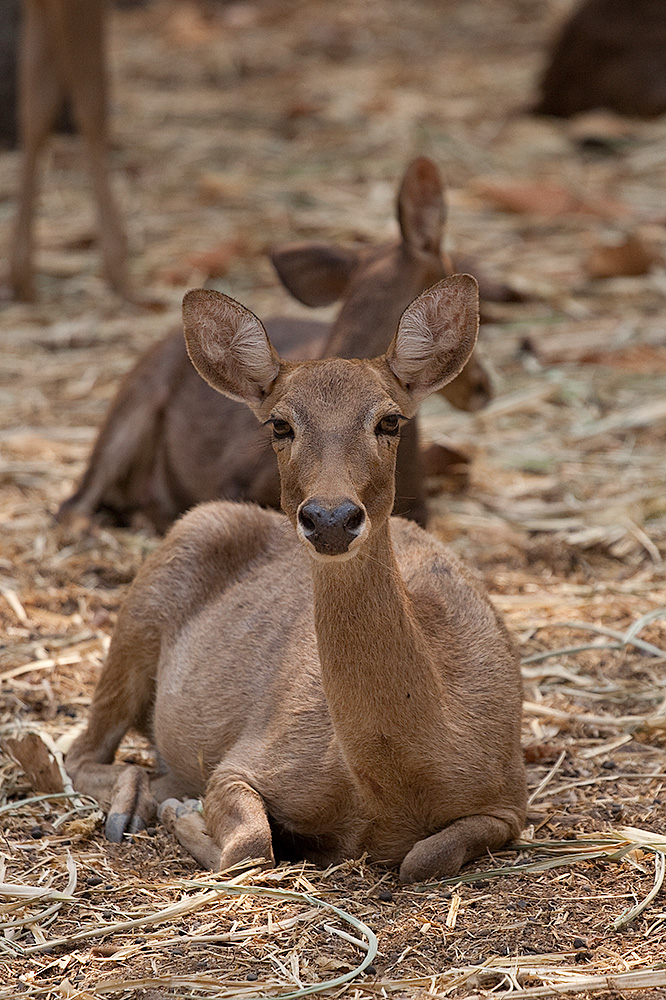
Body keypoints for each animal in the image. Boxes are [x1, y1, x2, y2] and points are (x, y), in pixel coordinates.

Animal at [57, 156, 490, 532]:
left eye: (389, 421)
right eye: (280, 425)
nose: (483, 387)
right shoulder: (233, 477)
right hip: (134, 398)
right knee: (75, 498)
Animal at [65, 274, 528, 884]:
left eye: (390, 420)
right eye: (279, 424)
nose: (331, 518)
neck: (397, 785)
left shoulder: (511, 796)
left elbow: (425, 857)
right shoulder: (249, 758)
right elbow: (251, 844)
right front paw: (184, 818)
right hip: (147, 602)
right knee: (82, 752)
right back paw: (136, 807)